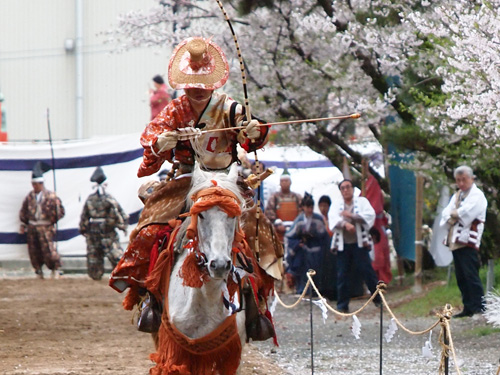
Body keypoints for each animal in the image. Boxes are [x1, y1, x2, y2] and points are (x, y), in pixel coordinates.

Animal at [144, 164, 254, 375]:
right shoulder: (176, 352)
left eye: (233, 215)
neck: (206, 299)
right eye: (201, 214)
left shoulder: (230, 353)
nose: (219, 265)